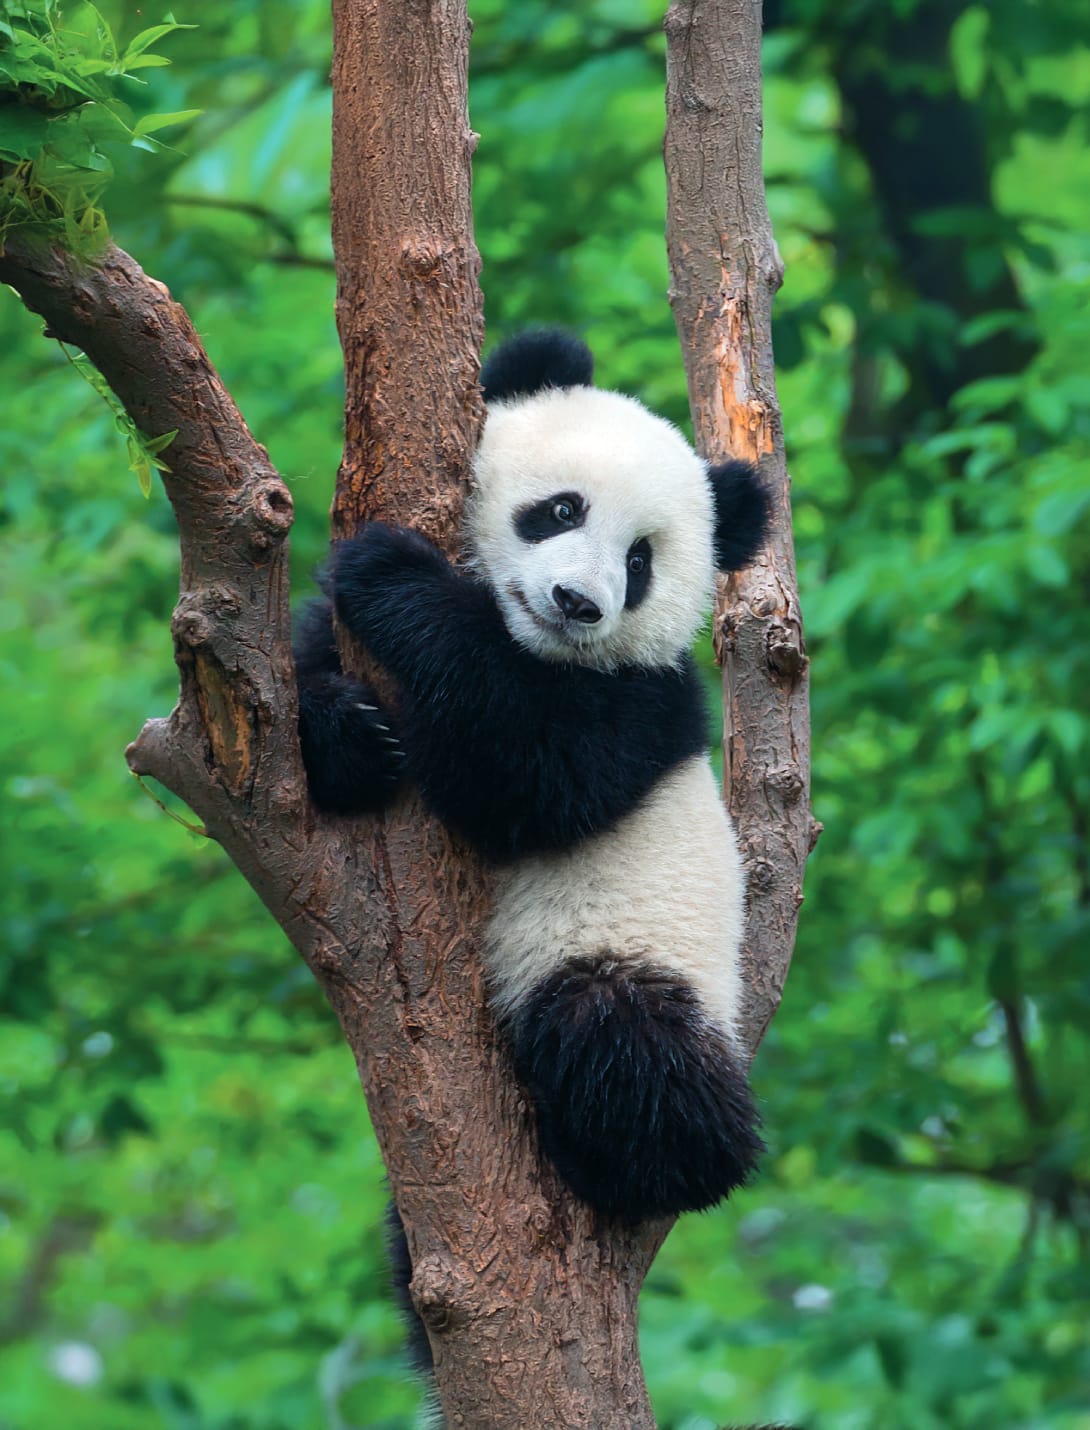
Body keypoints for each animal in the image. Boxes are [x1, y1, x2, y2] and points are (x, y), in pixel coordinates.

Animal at [295, 329, 769, 1222]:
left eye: (640, 561)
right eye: (562, 510)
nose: (578, 602)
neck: (537, 646)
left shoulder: (644, 703)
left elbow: (528, 775)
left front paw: (390, 573)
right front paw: (350, 735)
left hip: (633, 952)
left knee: (625, 1044)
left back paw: (642, 1163)